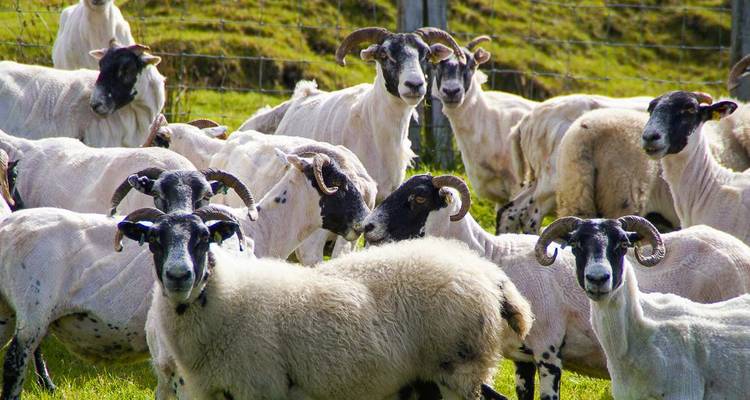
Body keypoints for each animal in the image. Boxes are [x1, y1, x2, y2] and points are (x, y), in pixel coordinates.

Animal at [115, 207, 531, 400]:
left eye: (203, 239)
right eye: (154, 241)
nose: (179, 276)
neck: (222, 297)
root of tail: (489, 275)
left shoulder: (257, 387)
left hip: (457, 370)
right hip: (434, 378)